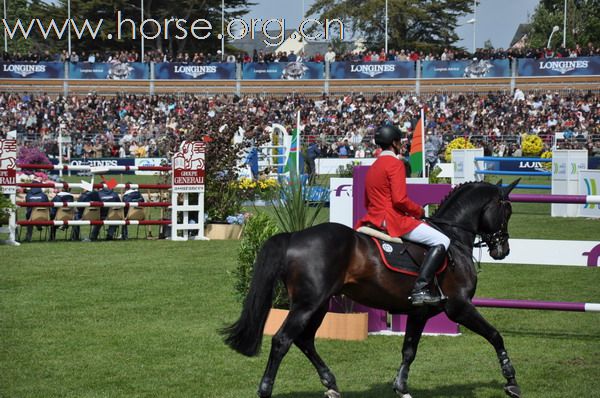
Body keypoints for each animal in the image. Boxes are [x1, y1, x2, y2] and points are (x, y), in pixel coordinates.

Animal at [223, 180, 524, 398]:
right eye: (507, 211)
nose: (503, 250)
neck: (454, 238)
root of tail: (295, 236)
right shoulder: (459, 307)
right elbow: (495, 336)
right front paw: (511, 381)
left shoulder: (419, 312)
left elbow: (409, 350)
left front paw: (401, 388)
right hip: (308, 305)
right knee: (282, 340)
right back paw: (266, 389)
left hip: (319, 304)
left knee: (304, 340)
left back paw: (330, 383)